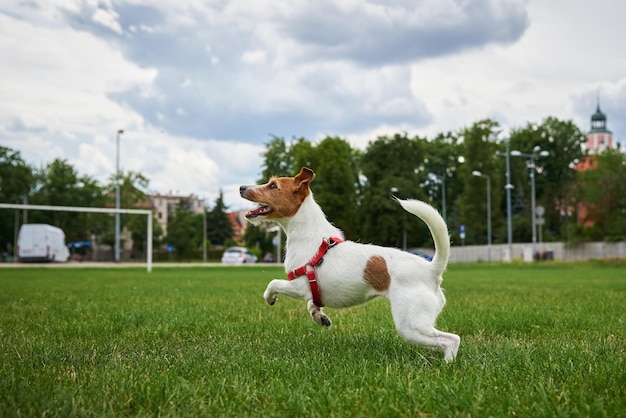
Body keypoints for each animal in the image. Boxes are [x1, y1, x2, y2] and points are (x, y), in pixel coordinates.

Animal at [239, 167, 458, 362]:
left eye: (273, 185)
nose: (241, 187)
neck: (311, 237)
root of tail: (431, 269)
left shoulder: (298, 286)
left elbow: (273, 284)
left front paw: (270, 298)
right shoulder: (312, 291)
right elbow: (312, 304)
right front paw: (320, 317)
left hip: (410, 324)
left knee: (452, 339)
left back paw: (447, 364)